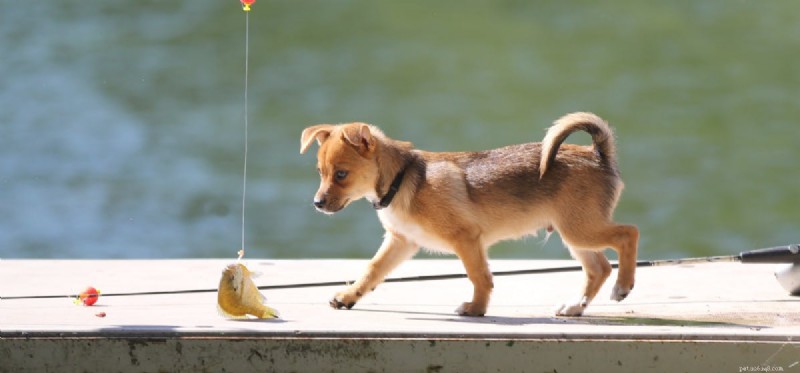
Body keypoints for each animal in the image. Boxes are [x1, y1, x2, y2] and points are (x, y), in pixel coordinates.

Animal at [300, 112, 636, 316]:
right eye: (319, 172)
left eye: (341, 175)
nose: (317, 203)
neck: (403, 180)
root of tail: (598, 154)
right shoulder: (401, 242)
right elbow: (372, 271)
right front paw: (349, 297)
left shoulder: (466, 240)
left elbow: (479, 276)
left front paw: (476, 309)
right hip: (575, 234)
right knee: (599, 268)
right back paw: (575, 307)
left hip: (579, 229)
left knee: (628, 233)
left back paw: (623, 285)